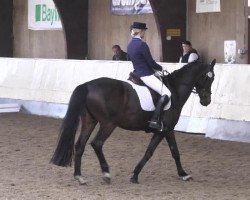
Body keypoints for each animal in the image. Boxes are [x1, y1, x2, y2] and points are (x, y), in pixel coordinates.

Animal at [50, 59, 215, 184]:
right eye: (209, 78)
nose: (206, 101)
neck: (174, 91)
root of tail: (88, 85)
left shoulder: (167, 130)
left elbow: (172, 152)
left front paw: (183, 174)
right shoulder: (165, 129)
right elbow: (154, 152)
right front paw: (135, 175)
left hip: (90, 121)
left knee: (80, 145)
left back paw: (79, 177)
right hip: (108, 124)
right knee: (97, 143)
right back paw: (106, 173)